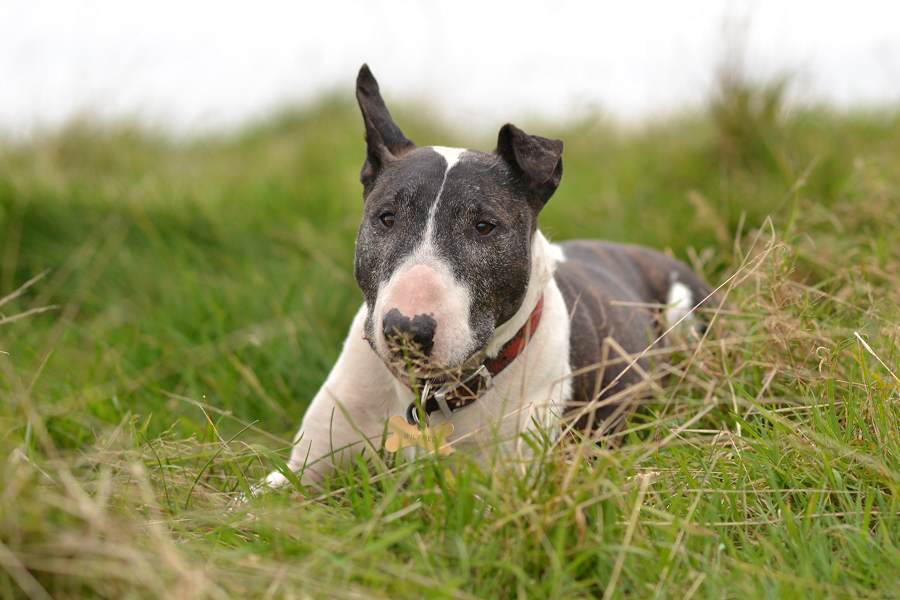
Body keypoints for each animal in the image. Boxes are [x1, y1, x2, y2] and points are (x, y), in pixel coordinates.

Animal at [258, 64, 712, 492]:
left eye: (484, 226)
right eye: (386, 218)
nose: (406, 329)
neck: (428, 396)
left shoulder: (508, 484)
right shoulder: (302, 468)